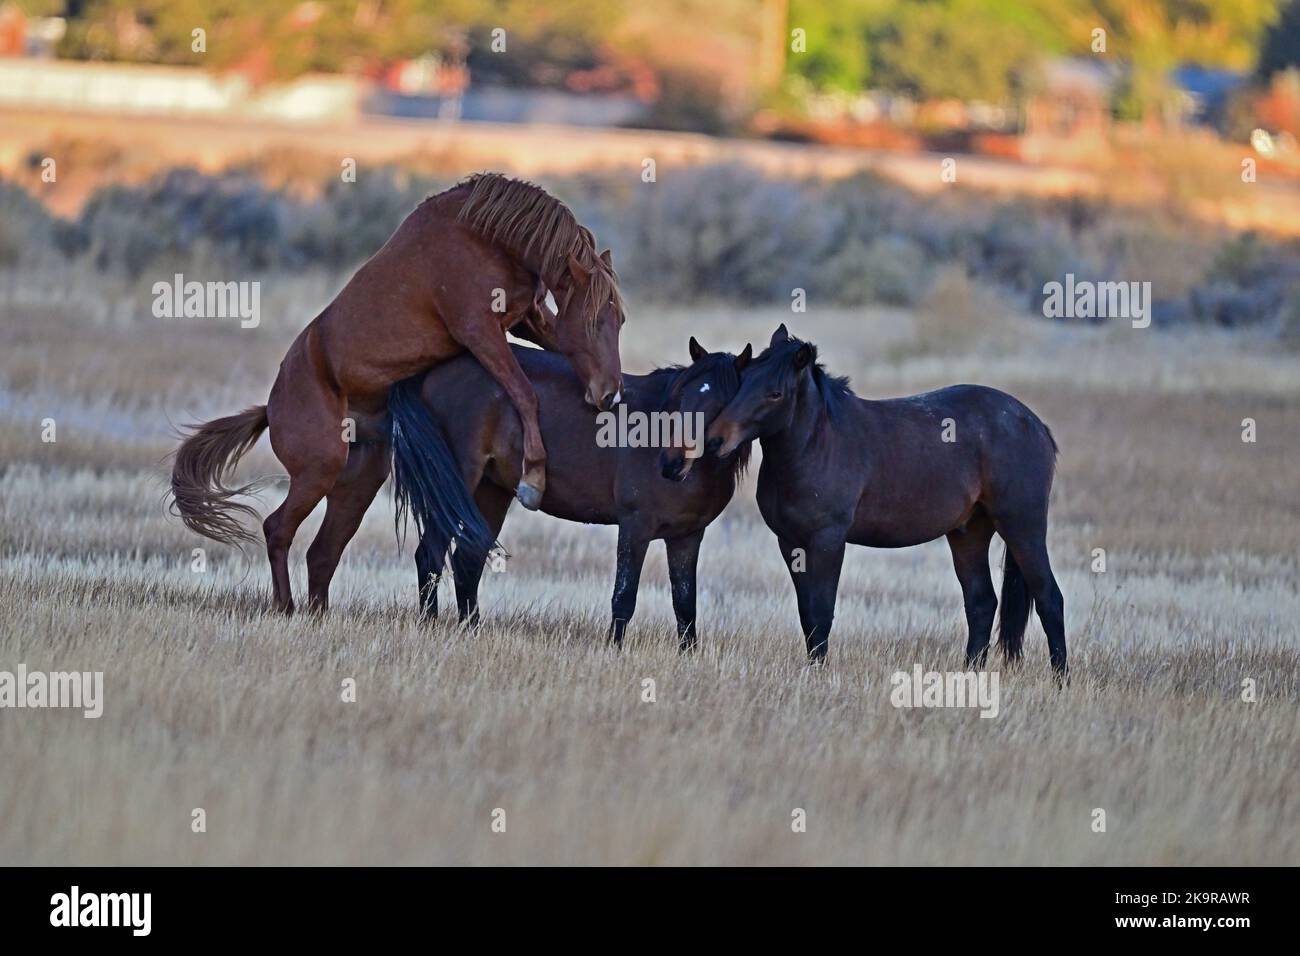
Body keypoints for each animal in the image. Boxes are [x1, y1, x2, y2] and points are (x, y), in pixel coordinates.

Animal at [170, 173, 625, 615]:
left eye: (619, 319)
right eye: (592, 321)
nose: (609, 396)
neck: (485, 238)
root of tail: (271, 407)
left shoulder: (526, 319)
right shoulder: (480, 331)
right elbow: (525, 392)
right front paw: (533, 478)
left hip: (359, 481)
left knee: (323, 551)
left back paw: (317, 614)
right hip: (318, 470)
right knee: (278, 529)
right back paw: (285, 607)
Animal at [386, 337, 753, 648]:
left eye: (720, 405)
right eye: (681, 401)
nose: (672, 462)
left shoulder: (687, 537)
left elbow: (685, 604)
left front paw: (688, 654)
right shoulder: (635, 526)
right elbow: (624, 595)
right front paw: (613, 651)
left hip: (492, 492)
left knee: (467, 561)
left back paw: (471, 632)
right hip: (453, 483)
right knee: (431, 554)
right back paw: (430, 627)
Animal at [705, 324, 1066, 676]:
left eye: (775, 393)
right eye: (741, 381)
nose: (715, 440)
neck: (818, 445)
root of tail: (1035, 425)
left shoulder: (827, 541)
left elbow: (821, 613)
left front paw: (819, 675)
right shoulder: (790, 542)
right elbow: (807, 615)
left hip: (1022, 527)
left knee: (1049, 598)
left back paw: (1061, 679)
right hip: (969, 533)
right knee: (981, 603)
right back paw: (970, 676)